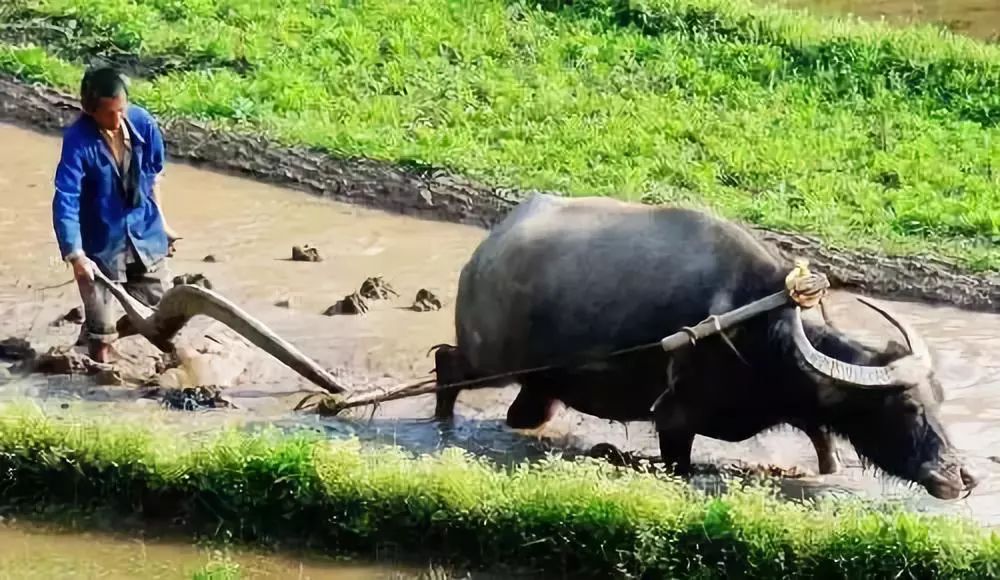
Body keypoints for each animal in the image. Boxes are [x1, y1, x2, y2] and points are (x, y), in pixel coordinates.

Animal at [432, 193, 976, 500]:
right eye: (904, 407)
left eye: (939, 400)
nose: (962, 476)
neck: (763, 339)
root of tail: (489, 248)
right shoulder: (675, 420)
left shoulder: (810, 417)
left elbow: (827, 453)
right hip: (489, 359)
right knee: (447, 363)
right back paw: (441, 425)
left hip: (541, 384)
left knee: (523, 413)